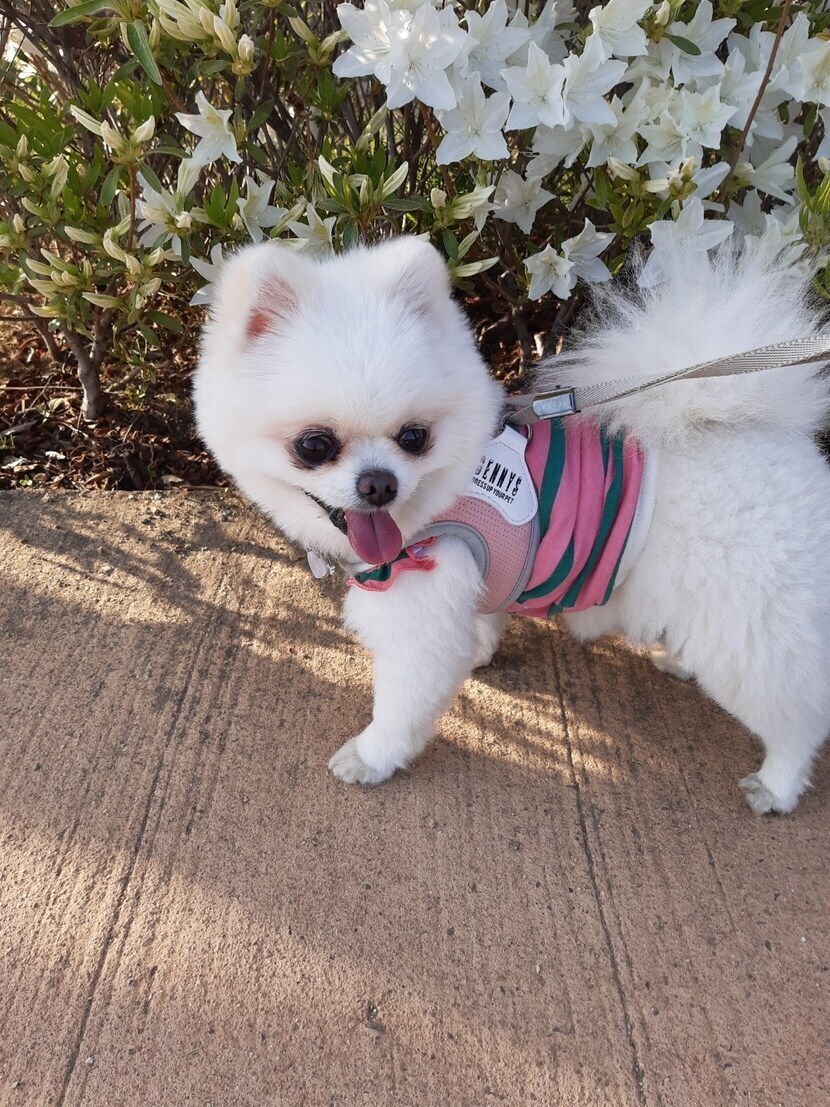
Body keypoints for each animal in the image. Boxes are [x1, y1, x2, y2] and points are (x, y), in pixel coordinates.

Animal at [193, 233, 830, 814]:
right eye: (314, 445)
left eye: (414, 437)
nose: (379, 483)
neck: (441, 497)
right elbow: (480, 621)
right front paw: (480, 650)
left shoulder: (419, 608)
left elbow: (402, 704)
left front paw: (371, 757)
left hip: (748, 626)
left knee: (795, 717)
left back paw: (776, 785)